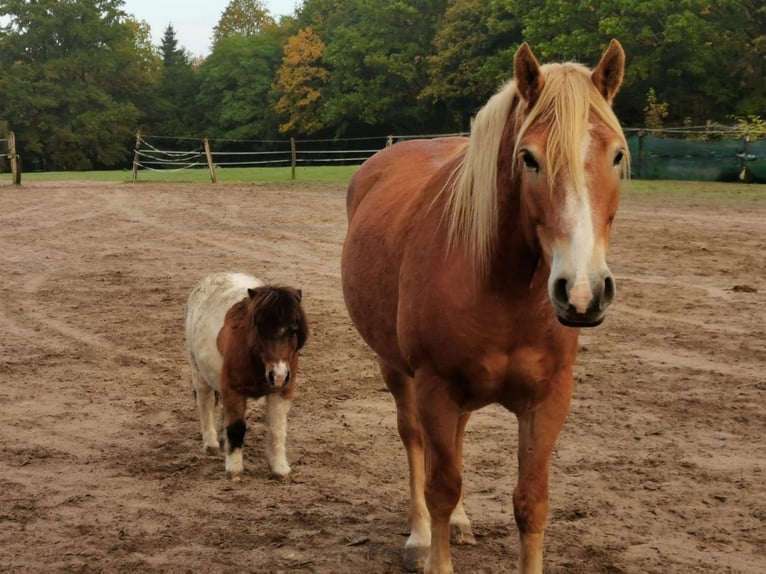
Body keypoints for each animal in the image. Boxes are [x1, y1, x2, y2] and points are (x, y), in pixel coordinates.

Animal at [184, 272, 309, 481]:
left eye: (293, 330)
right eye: (260, 328)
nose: (279, 375)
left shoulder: (281, 391)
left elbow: (276, 429)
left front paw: (280, 469)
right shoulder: (234, 391)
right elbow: (236, 429)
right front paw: (234, 470)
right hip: (198, 371)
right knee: (205, 404)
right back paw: (211, 444)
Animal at [341, 40, 627, 573]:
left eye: (617, 155)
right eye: (529, 158)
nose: (582, 292)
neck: (503, 291)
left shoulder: (548, 399)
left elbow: (531, 502)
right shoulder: (435, 387)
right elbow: (440, 486)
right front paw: (433, 549)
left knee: (453, 443)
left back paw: (457, 523)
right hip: (398, 371)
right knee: (415, 442)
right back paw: (420, 536)